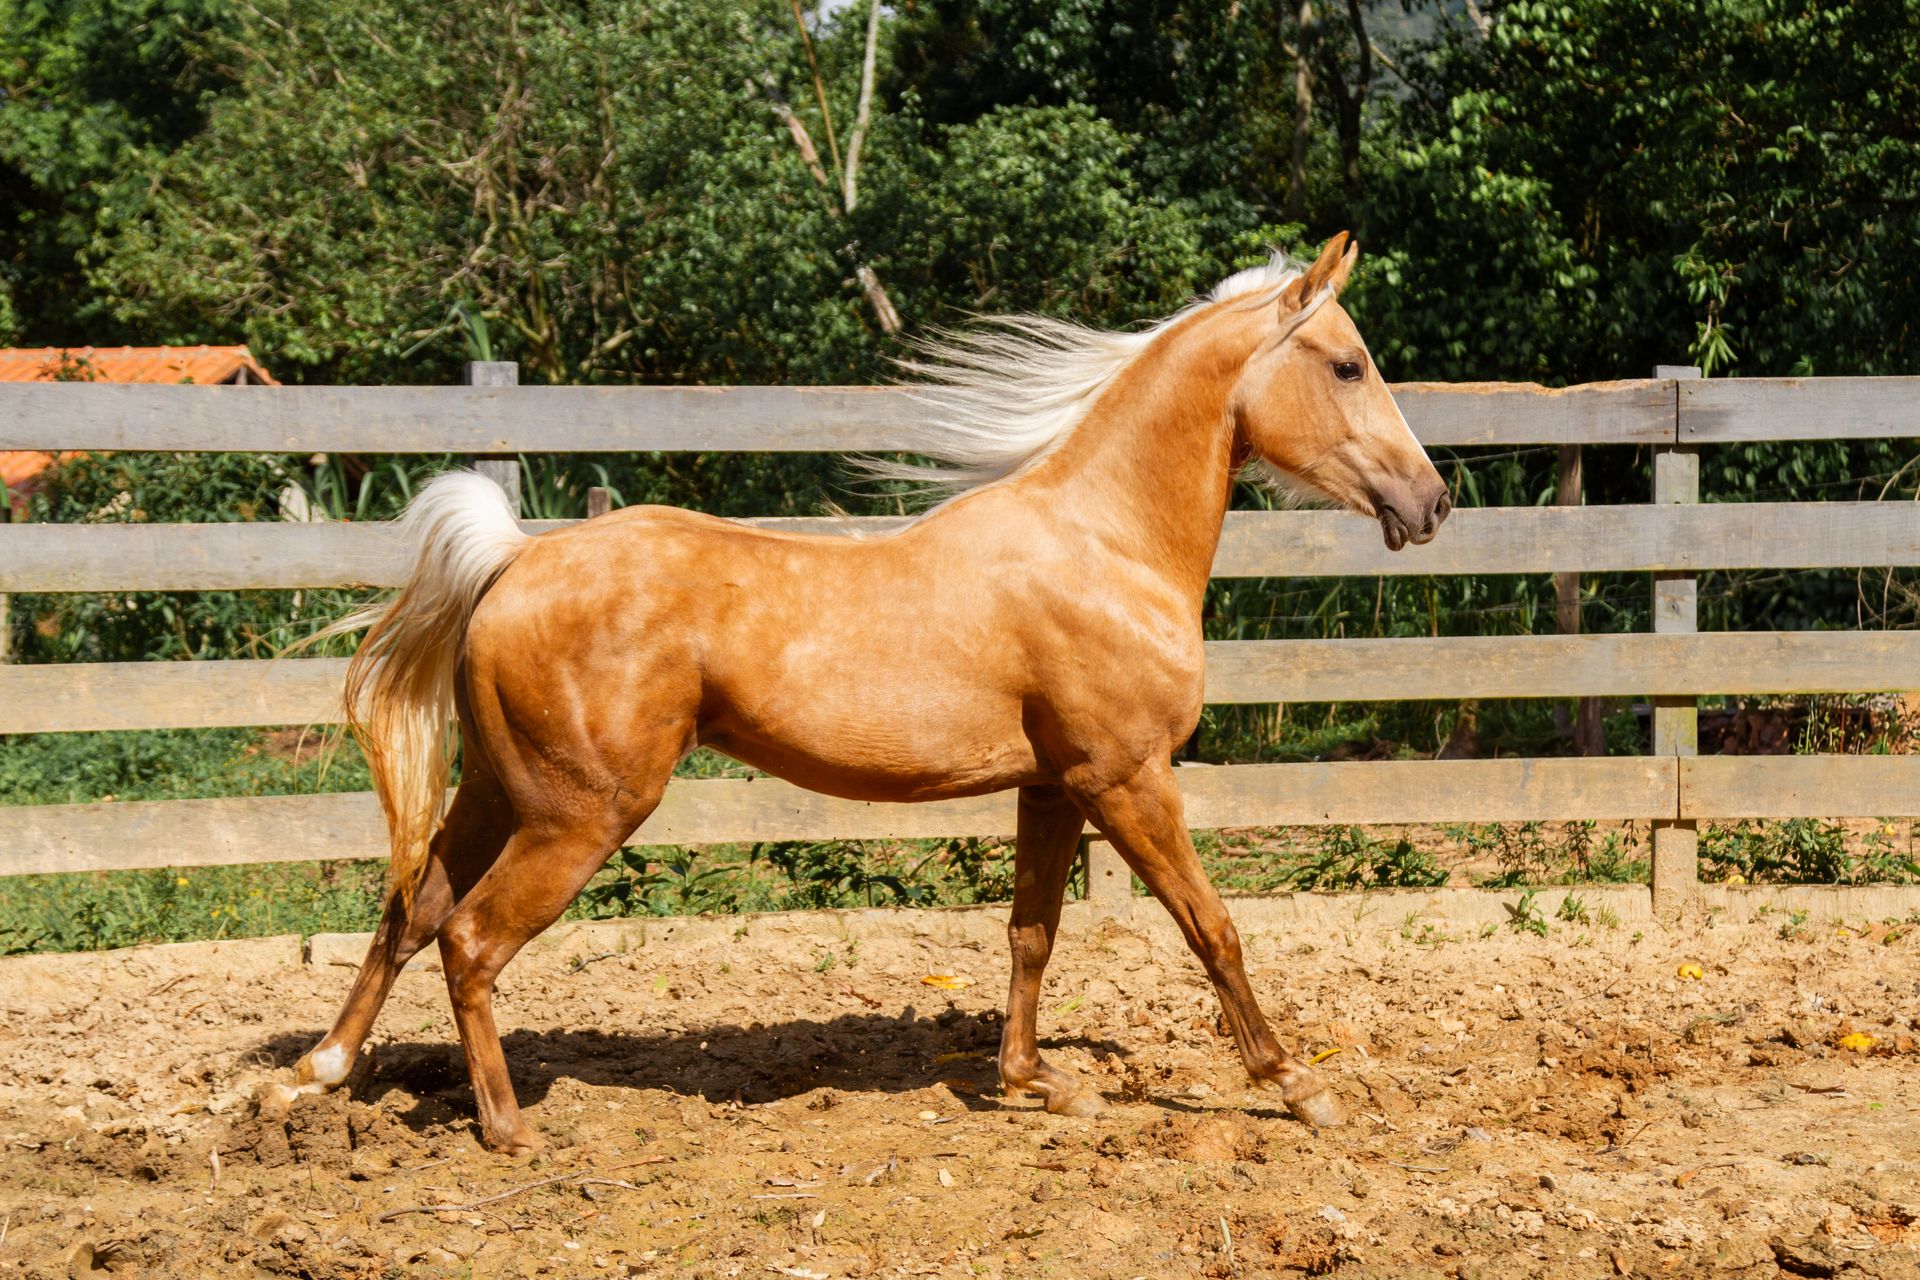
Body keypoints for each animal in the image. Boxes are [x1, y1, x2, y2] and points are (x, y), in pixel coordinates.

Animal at [280, 232, 1450, 1154]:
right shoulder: (1128, 780)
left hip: (494, 791)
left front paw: (1038, 1084)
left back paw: (320, 1071)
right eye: (1348, 364)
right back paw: (509, 1127)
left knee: (409, 908)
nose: (1431, 500)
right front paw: (1299, 1089)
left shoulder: (1052, 785)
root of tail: (516, 558)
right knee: (469, 939)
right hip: (579, 814)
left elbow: (1030, 933)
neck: (1106, 545)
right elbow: (1215, 929)